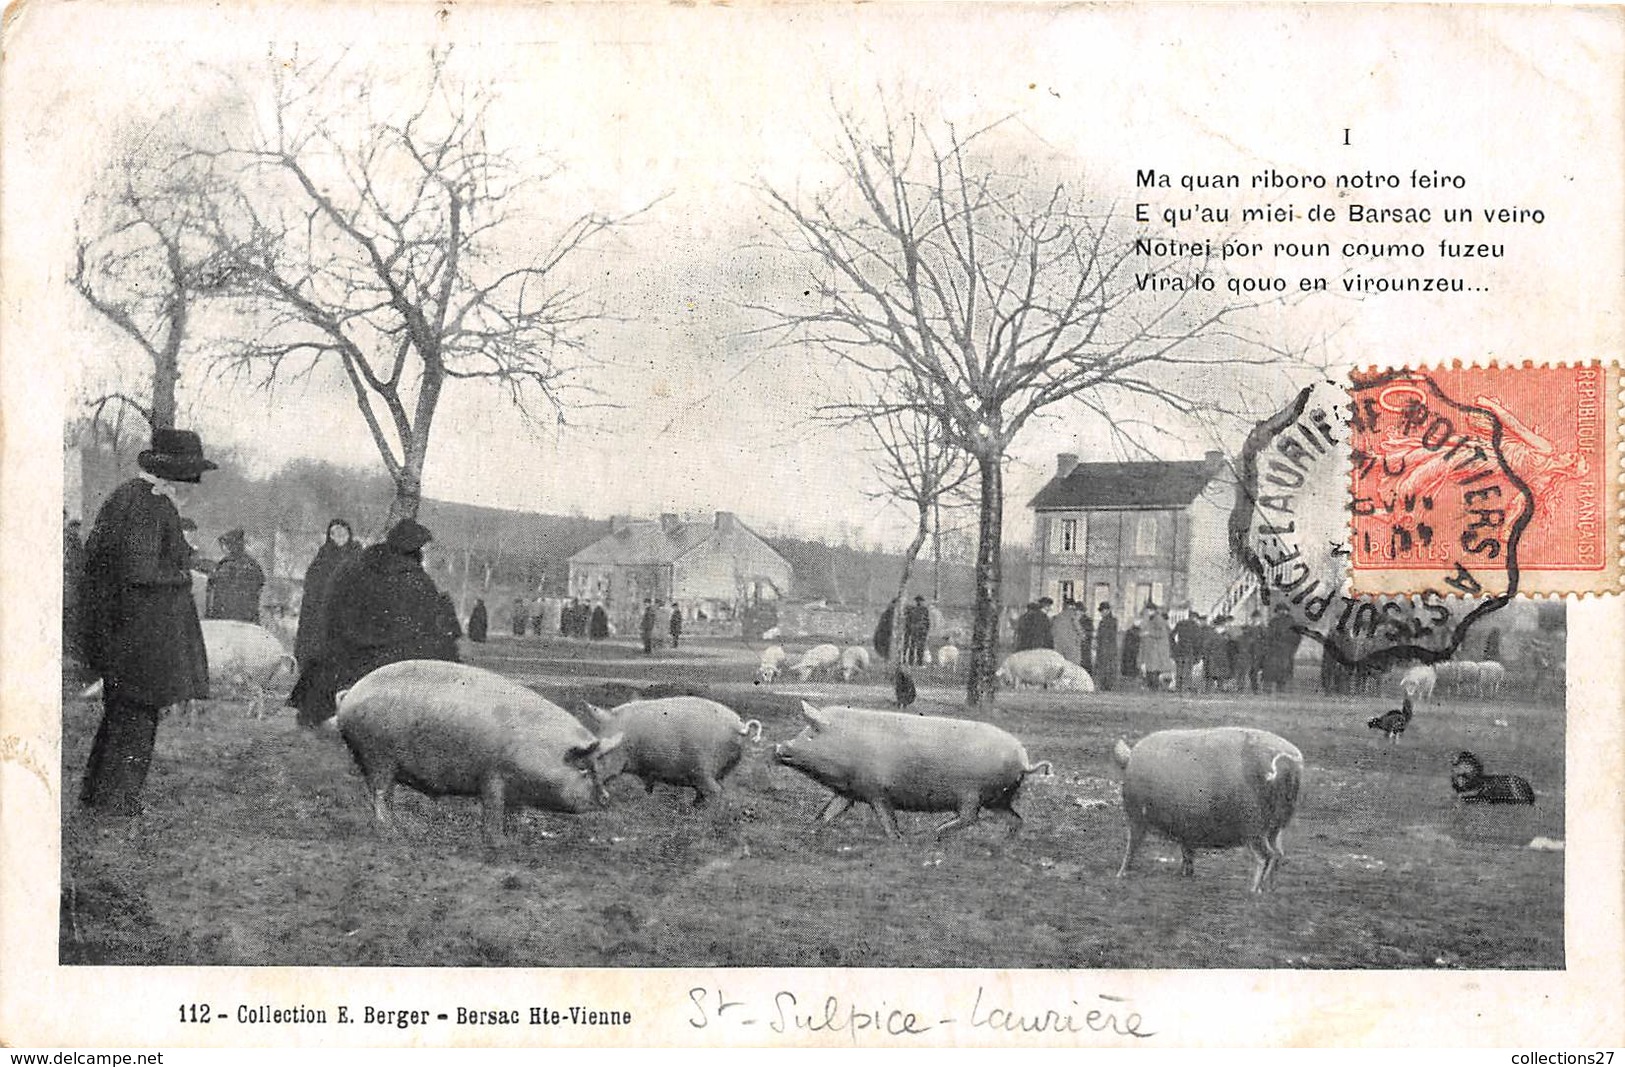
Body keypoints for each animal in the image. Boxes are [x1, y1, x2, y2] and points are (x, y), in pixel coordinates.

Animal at [334, 656, 620, 838]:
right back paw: (393, 833)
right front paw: (496, 842)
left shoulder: (517, 790)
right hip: (377, 757)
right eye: (583, 768)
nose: (607, 798)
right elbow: (493, 811)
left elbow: (516, 814)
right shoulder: (493, 775)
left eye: (596, 766)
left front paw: (517, 838)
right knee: (381, 795)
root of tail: (350, 693)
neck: (537, 749)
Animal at [585, 695, 760, 802]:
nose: (599, 797)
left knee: (715, 792)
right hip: (722, 769)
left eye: (602, 754)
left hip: (703, 768)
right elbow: (648, 788)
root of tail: (739, 727)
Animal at [770, 698, 1053, 838]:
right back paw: (1006, 841)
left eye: (811, 735)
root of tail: (1024, 761)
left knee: (971, 817)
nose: (778, 747)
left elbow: (887, 819)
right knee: (1016, 819)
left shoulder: (878, 791)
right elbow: (828, 813)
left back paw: (933, 833)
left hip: (972, 794)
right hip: (999, 798)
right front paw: (811, 829)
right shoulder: (850, 791)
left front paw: (897, 838)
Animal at [1111, 724, 1300, 889]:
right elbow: (1187, 851)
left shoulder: (1137, 816)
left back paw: (1254, 890)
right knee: (1278, 853)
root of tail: (1287, 759)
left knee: (1266, 855)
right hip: (1276, 826)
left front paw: (1120, 874)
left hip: (1254, 826)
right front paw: (1185, 874)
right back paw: (1270, 888)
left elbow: (1132, 846)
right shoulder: (1185, 825)